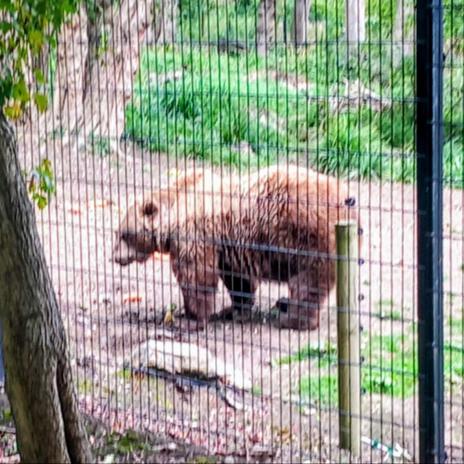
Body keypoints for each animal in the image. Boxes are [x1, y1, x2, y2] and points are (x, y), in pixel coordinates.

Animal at [112, 166, 358, 330]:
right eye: (117, 232)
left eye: (124, 233)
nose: (114, 257)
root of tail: (349, 205)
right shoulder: (228, 248)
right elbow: (238, 280)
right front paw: (233, 310)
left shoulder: (195, 236)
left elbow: (196, 277)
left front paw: (190, 318)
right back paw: (284, 306)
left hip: (310, 241)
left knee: (307, 284)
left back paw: (292, 319)